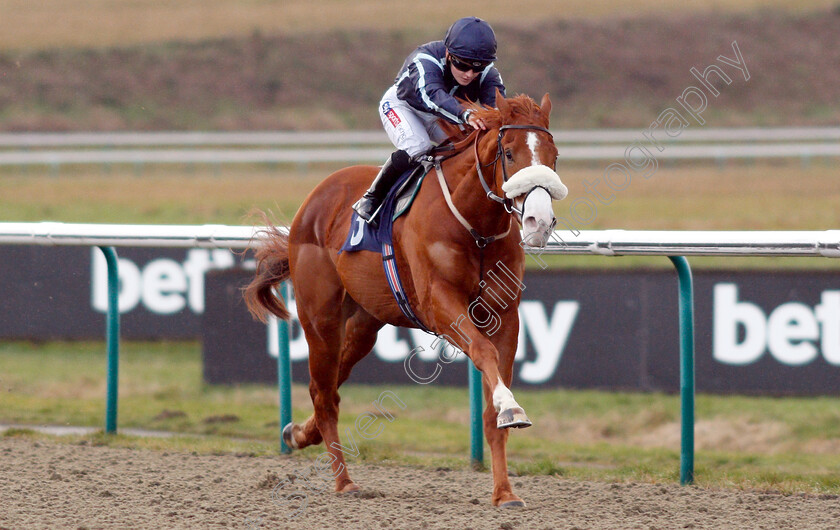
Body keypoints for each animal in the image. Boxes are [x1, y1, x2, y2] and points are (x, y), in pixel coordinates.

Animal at [246, 93, 568, 506]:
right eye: (509, 153)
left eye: (554, 155)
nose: (539, 222)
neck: (475, 226)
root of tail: (313, 200)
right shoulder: (440, 307)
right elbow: (483, 352)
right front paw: (511, 408)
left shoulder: (504, 314)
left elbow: (492, 402)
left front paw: (505, 492)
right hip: (320, 318)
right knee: (324, 393)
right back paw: (343, 481)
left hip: (365, 322)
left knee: (332, 384)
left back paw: (299, 433)